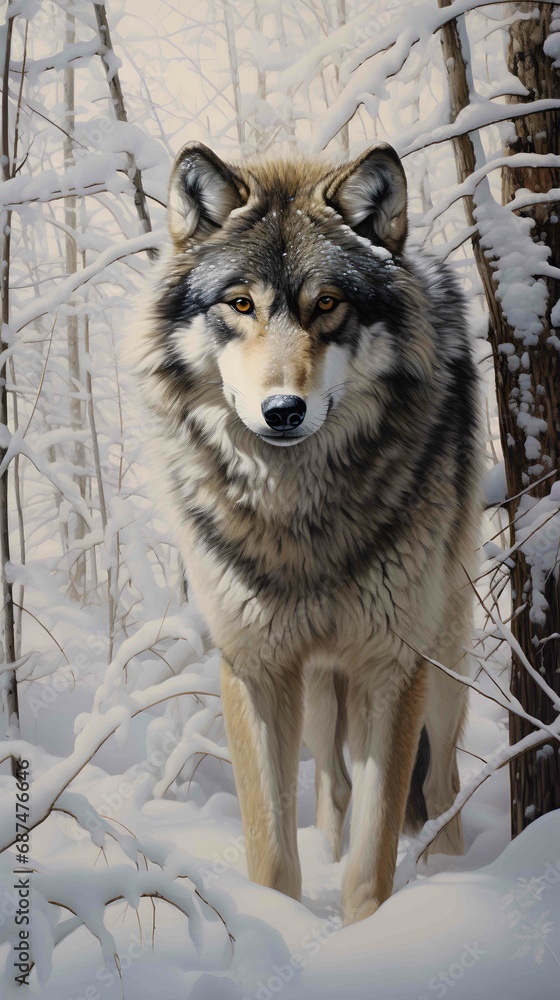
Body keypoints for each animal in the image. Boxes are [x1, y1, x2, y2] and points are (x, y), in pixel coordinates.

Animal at [131, 141, 481, 924]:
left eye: (327, 304)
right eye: (240, 304)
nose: (283, 411)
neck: (298, 517)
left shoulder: (393, 665)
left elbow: (374, 854)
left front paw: (368, 933)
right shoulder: (256, 665)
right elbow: (271, 849)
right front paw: (279, 927)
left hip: (443, 657)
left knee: (441, 784)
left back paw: (451, 875)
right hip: (320, 690)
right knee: (333, 786)